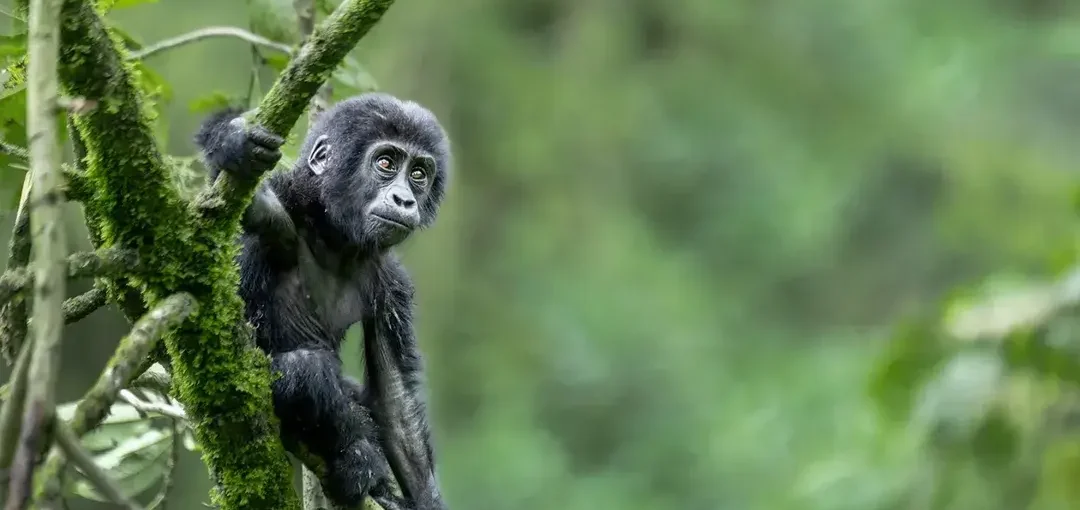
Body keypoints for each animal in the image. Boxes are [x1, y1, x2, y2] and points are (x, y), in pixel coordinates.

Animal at [194, 93, 451, 510]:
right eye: (385, 163)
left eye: (418, 173)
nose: (405, 199)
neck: (331, 232)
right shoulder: (281, 204)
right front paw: (232, 140)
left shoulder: (391, 282)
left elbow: (396, 404)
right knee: (306, 371)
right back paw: (359, 457)